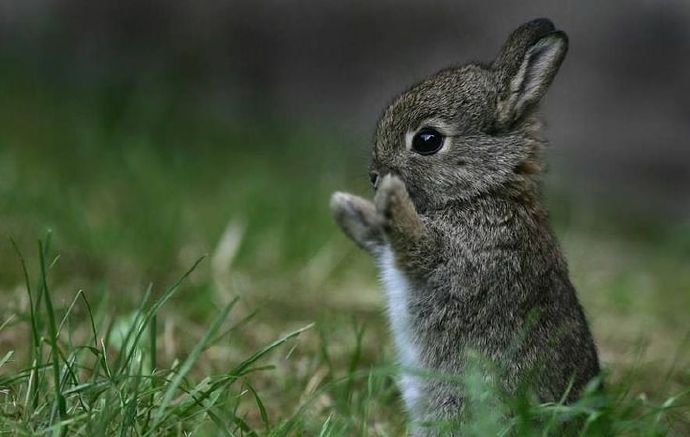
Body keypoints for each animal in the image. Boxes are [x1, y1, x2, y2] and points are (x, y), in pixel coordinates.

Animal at [328, 17, 596, 432]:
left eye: (427, 140)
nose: (375, 176)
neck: (484, 191)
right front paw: (347, 207)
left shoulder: (458, 260)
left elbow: (414, 244)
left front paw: (391, 195)